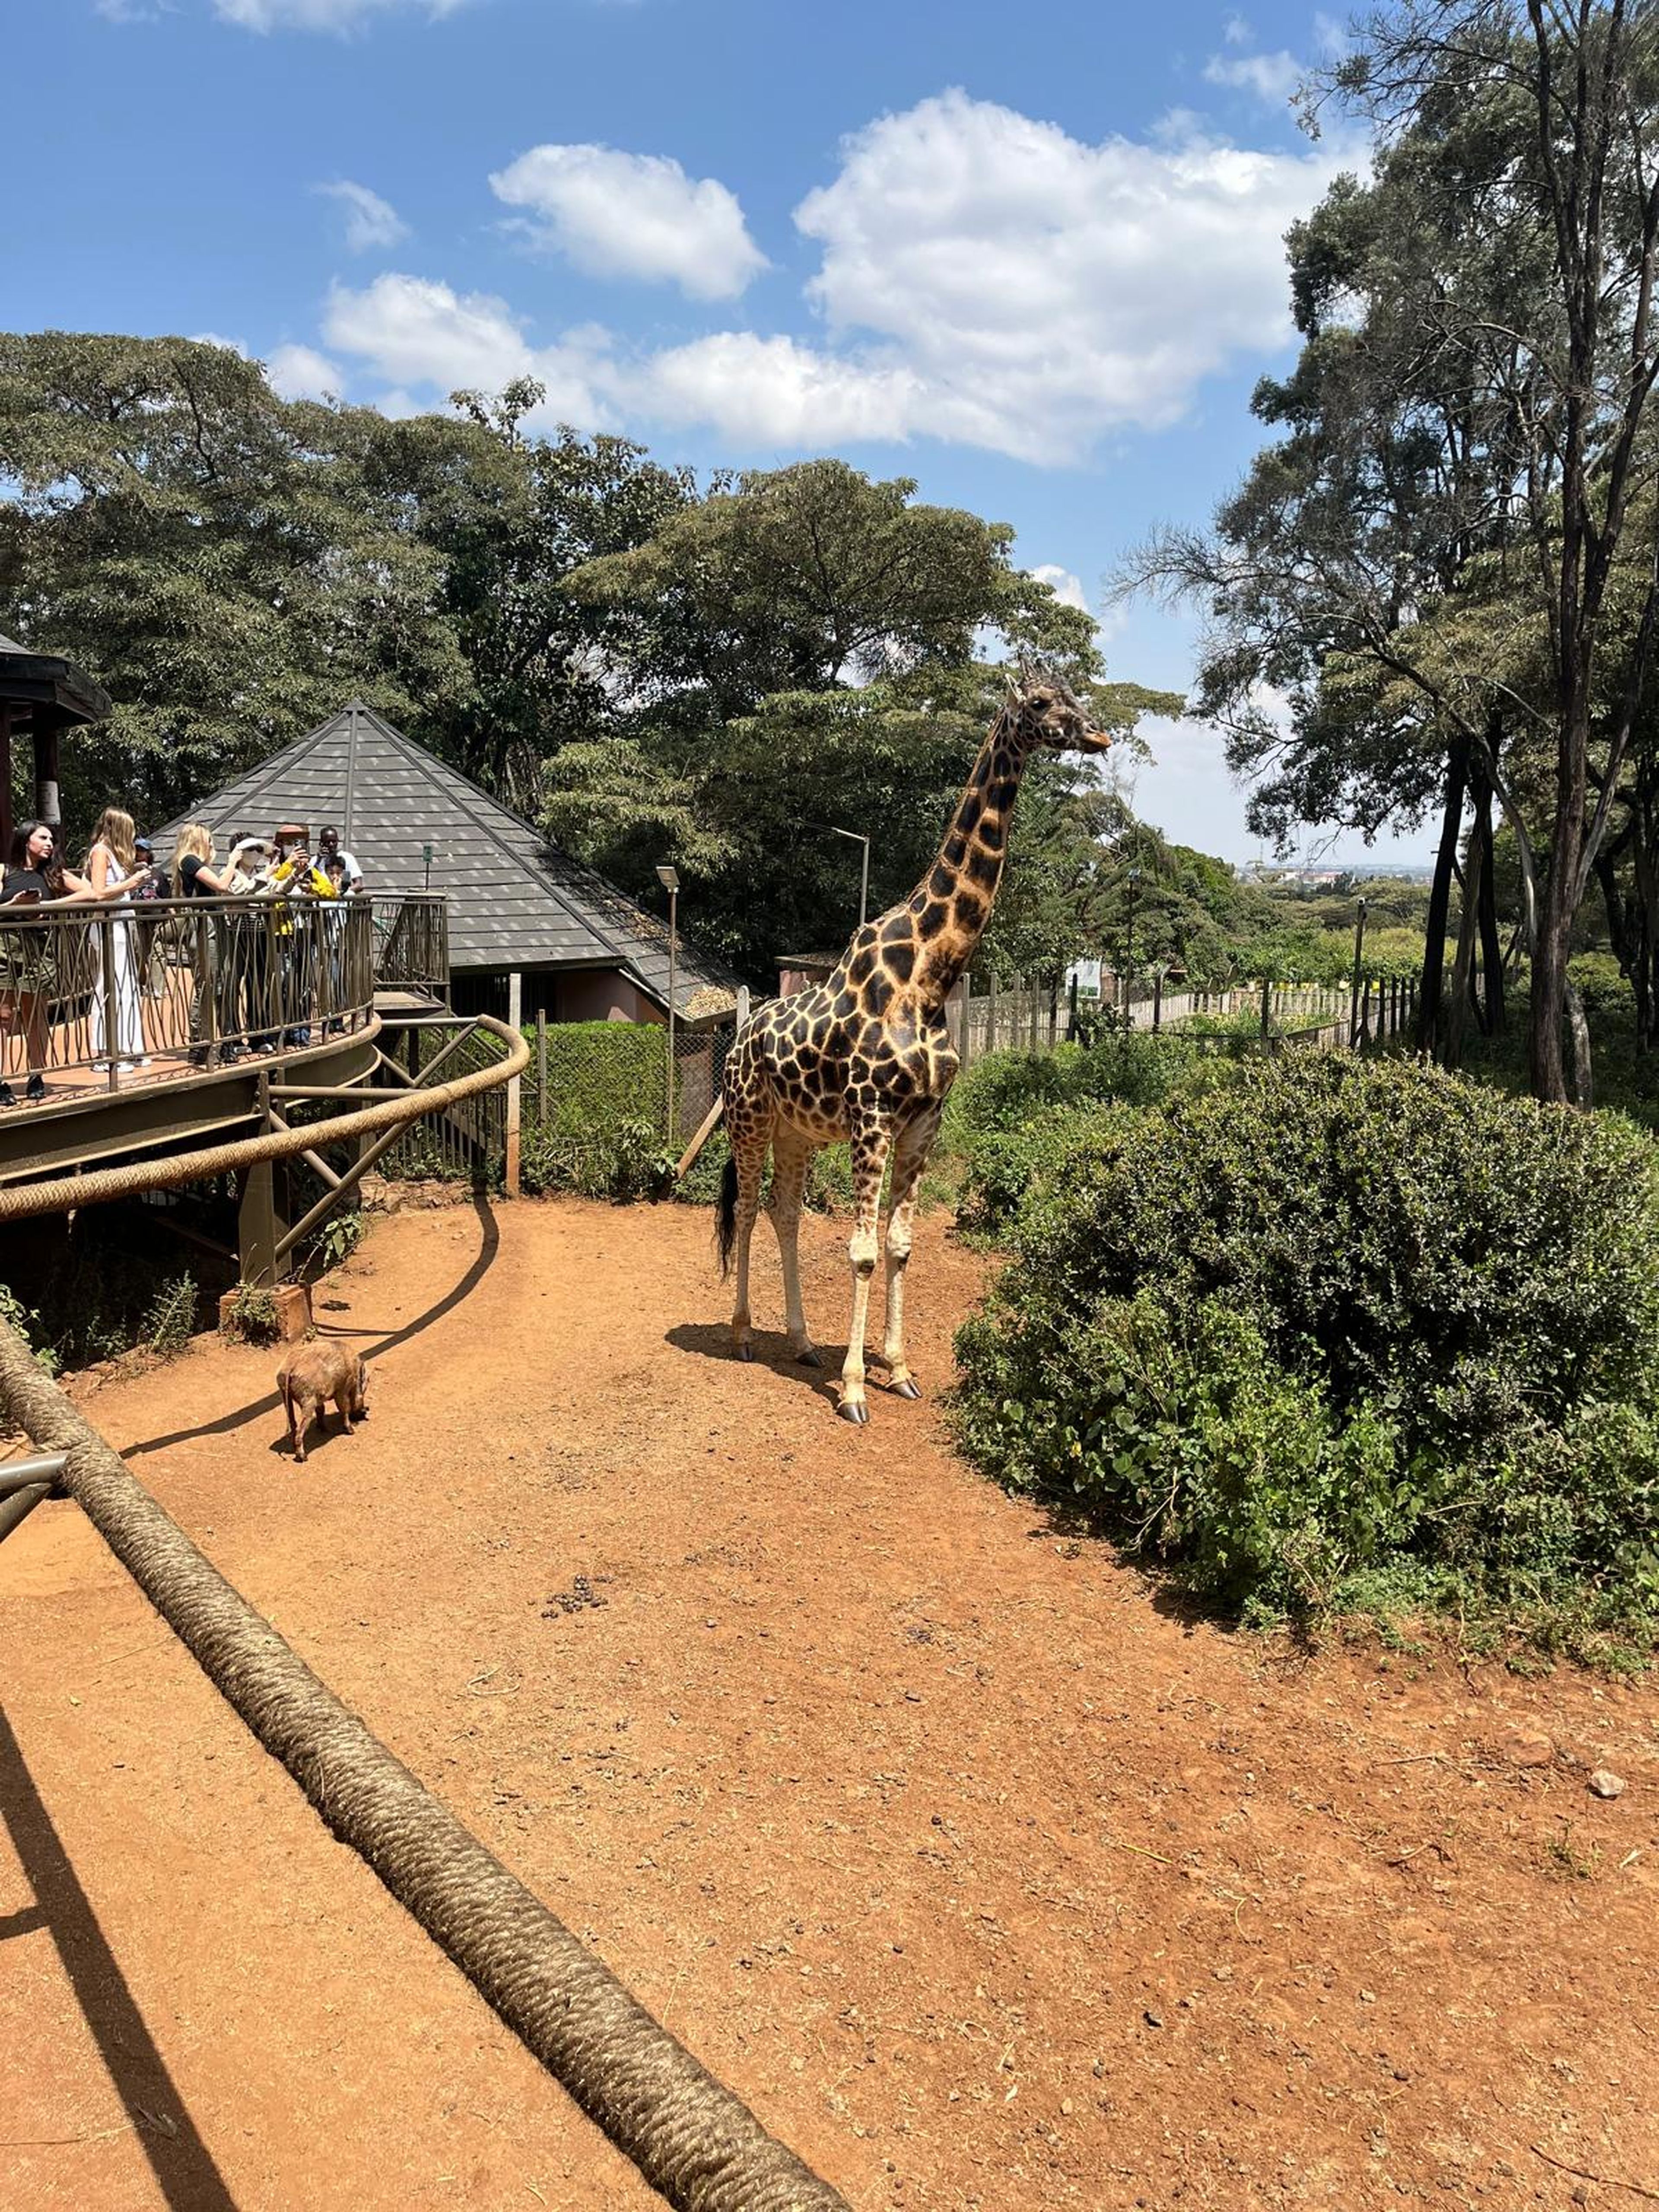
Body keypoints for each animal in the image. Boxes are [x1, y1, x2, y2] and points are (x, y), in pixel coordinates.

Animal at [715, 673, 1112, 1423]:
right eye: (1041, 703)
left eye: (1075, 694)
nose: (1100, 735)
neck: (932, 973)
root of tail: (735, 1041)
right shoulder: (872, 1116)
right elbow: (864, 1251)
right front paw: (852, 1391)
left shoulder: (926, 1117)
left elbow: (900, 1246)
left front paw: (897, 1370)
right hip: (749, 1121)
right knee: (748, 1210)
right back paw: (746, 1336)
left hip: (797, 1131)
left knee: (785, 1211)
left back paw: (801, 1342)